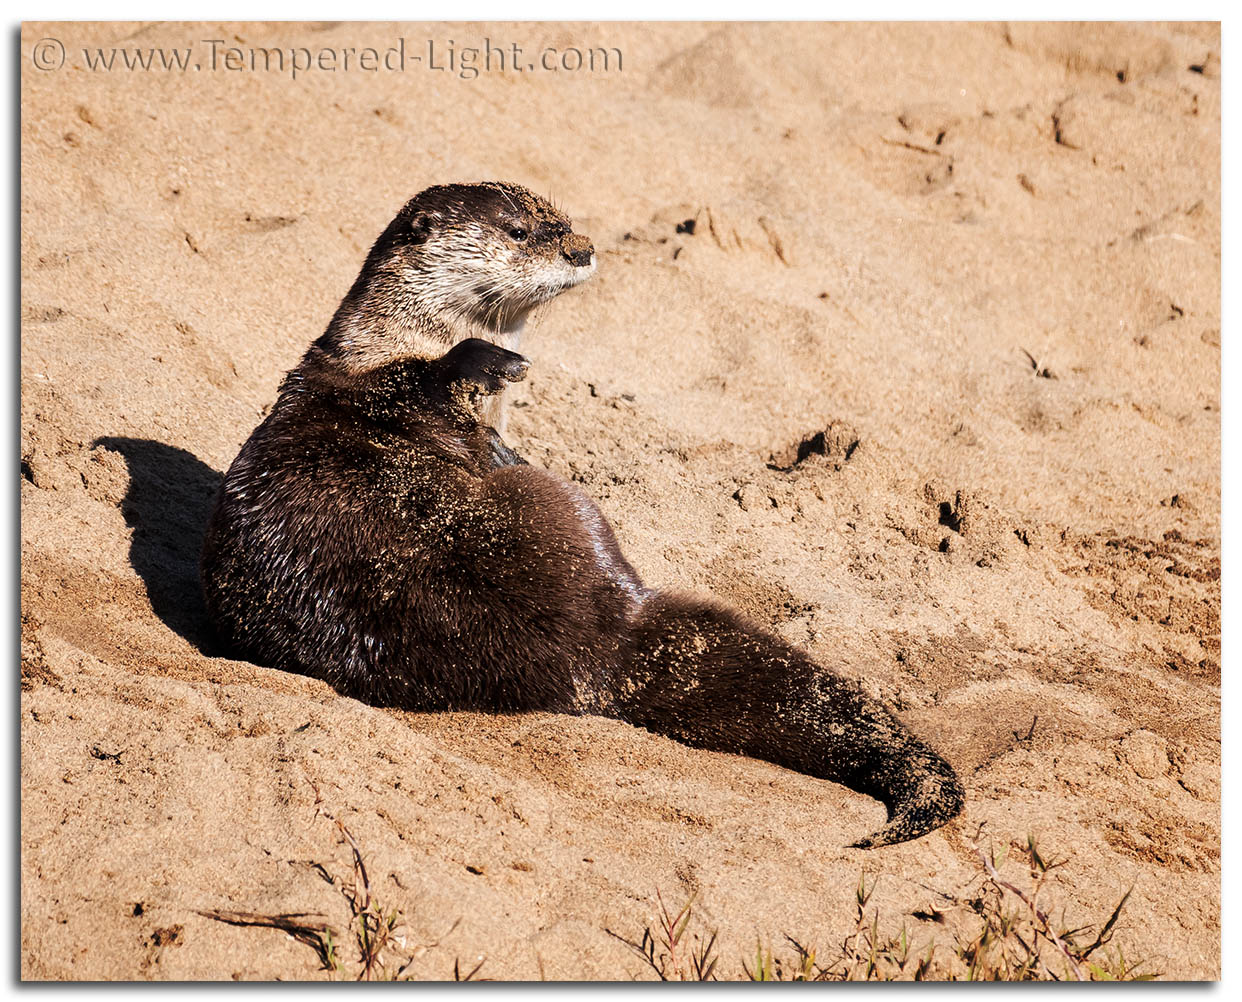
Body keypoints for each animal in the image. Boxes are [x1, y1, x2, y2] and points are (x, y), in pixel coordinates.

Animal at [201, 181, 963, 848]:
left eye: (563, 218)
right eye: (519, 231)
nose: (581, 249)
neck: (387, 344)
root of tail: (600, 647)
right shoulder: (389, 381)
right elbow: (430, 386)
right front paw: (487, 377)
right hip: (555, 505)